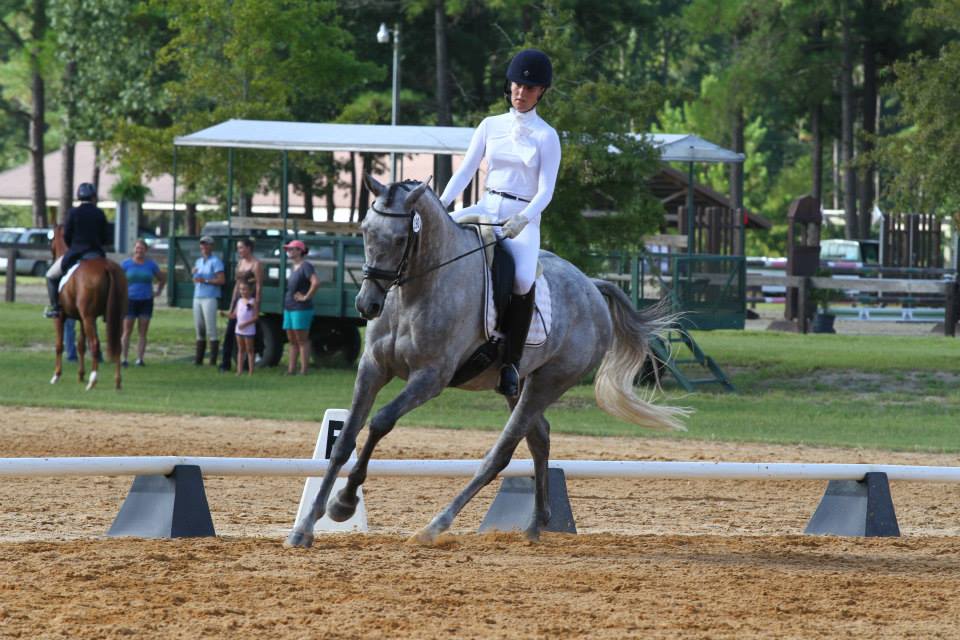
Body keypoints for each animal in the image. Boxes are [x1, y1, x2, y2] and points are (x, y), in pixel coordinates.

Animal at [50, 225, 128, 390]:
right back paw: (117, 381)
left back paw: (93, 380)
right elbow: (80, 345)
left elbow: (59, 345)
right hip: (114, 317)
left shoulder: (61, 317)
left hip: (88, 318)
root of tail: (107, 266)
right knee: (117, 344)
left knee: (95, 344)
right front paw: (80, 375)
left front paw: (56, 375)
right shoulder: (80, 319)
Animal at [287, 175, 688, 548]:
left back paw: (435, 526)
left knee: (502, 452)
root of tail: (591, 285)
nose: (367, 305)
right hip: (520, 383)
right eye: (366, 231)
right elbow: (345, 440)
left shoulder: (430, 377)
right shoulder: (373, 367)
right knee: (538, 437)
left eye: (401, 240)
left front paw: (344, 503)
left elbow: (380, 422)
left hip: (550, 381)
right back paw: (535, 525)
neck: (417, 290)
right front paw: (306, 526)